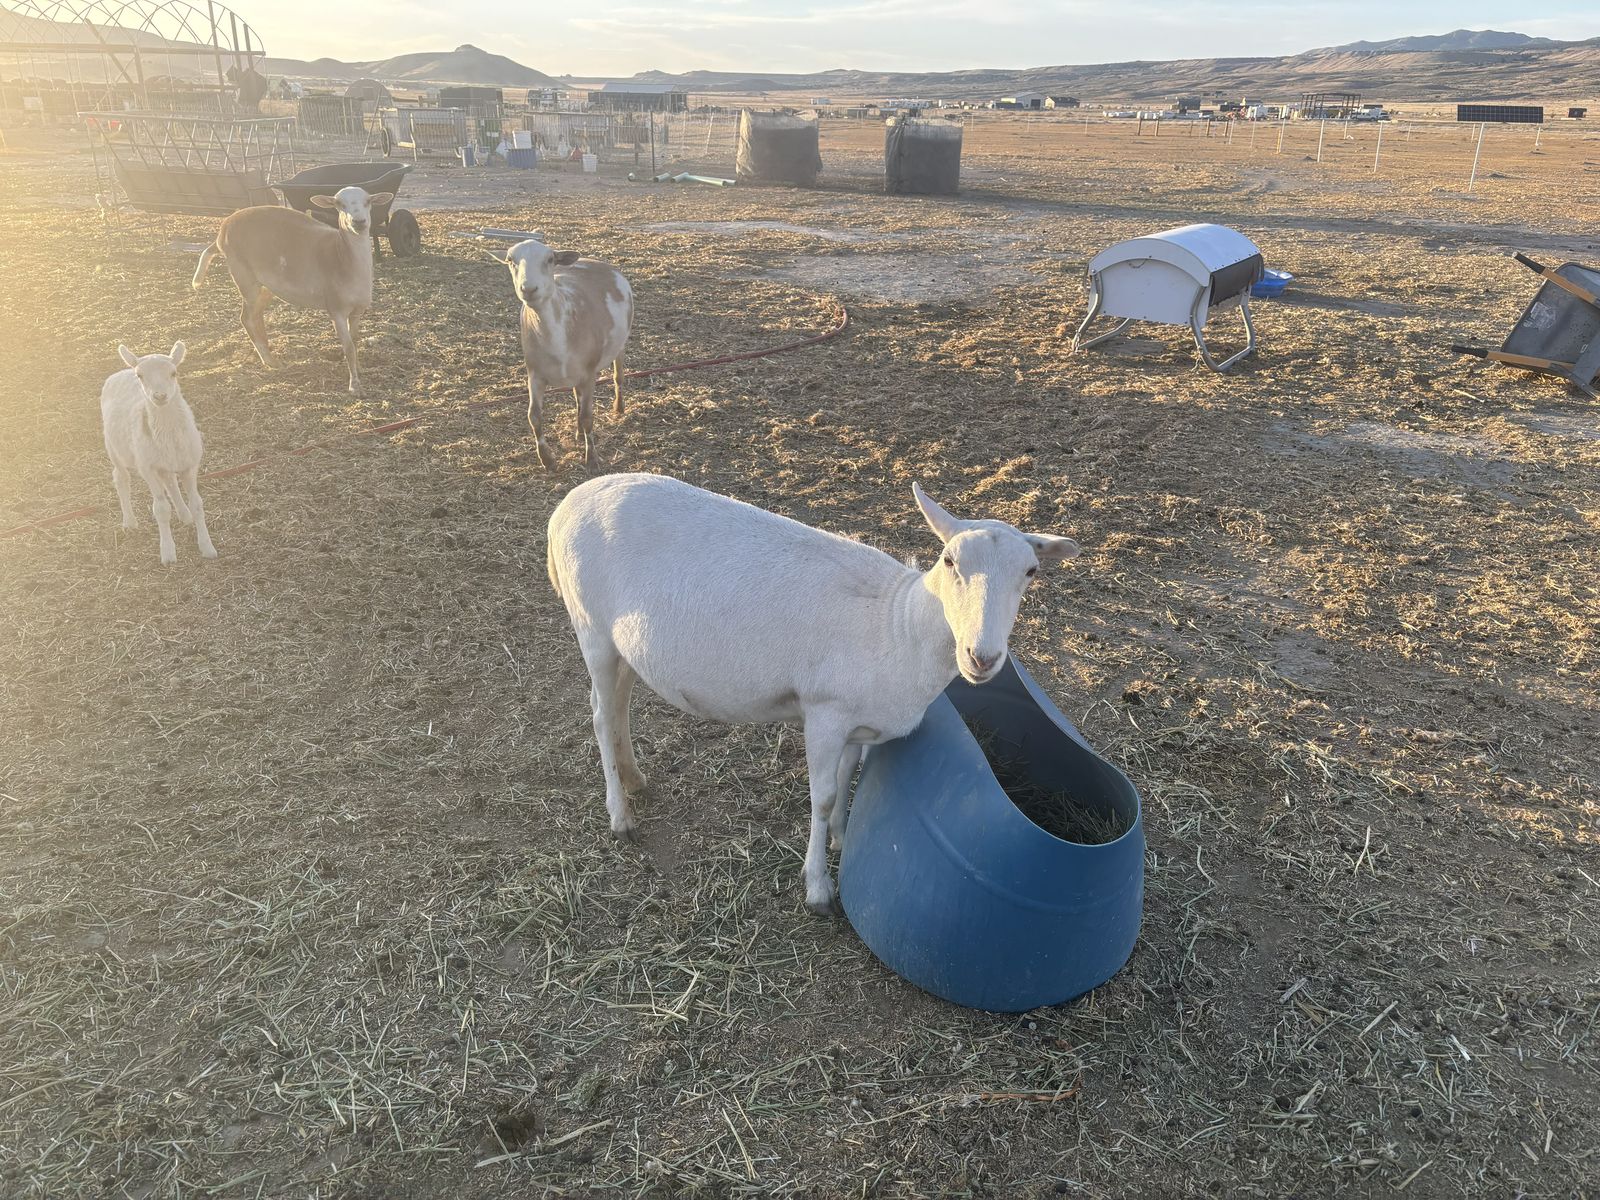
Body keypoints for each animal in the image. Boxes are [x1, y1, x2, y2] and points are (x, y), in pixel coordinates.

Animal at [100, 342, 216, 565]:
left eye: (174, 372)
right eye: (140, 376)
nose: (160, 396)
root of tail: (121, 371)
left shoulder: (190, 464)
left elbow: (197, 504)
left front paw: (207, 547)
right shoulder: (148, 468)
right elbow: (161, 509)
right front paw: (168, 553)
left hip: (165, 460)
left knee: (170, 482)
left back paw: (184, 515)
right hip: (113, 447)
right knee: (121, 478)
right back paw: (129, 522)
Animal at [192, 185, 392, 395]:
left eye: (368, 201)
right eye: (338, 203)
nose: (359, 222)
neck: (342, 255)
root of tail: (222, 229)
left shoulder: (358, 310)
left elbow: (355, 340)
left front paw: (359, 369)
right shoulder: (336, 308)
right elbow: (348, 347)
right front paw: (354, 386)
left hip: (266, 284)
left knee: (256, 315)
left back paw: (271, 357)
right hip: (243, 275)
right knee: (246, 317)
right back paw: (268, 360)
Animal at [497, 239, 633, 469]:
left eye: (550, 259)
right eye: (510, 260)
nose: (529, 289)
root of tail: (597, 261)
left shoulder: (589, 373)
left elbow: (588, 417)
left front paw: (592, 459)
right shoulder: (535, 374)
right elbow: (534, 416)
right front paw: (547, 459)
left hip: (620, 343)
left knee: (618, 376)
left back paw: (619, 407)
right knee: (577, 396)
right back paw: (578, 433)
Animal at [547, 473, 1081, 914]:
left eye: (1031, 572)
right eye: (949, 560)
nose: (982, 656)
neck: (898, 626)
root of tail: (566, 505)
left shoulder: (858, 723)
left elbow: (847, 780)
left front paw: (843, 840)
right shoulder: (825, 712)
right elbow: (822, 797)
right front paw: (819, 887)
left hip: (626, 646)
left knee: (618, 705)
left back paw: (635, 779)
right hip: (591, 626)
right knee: (599, 715)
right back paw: (621, 815)